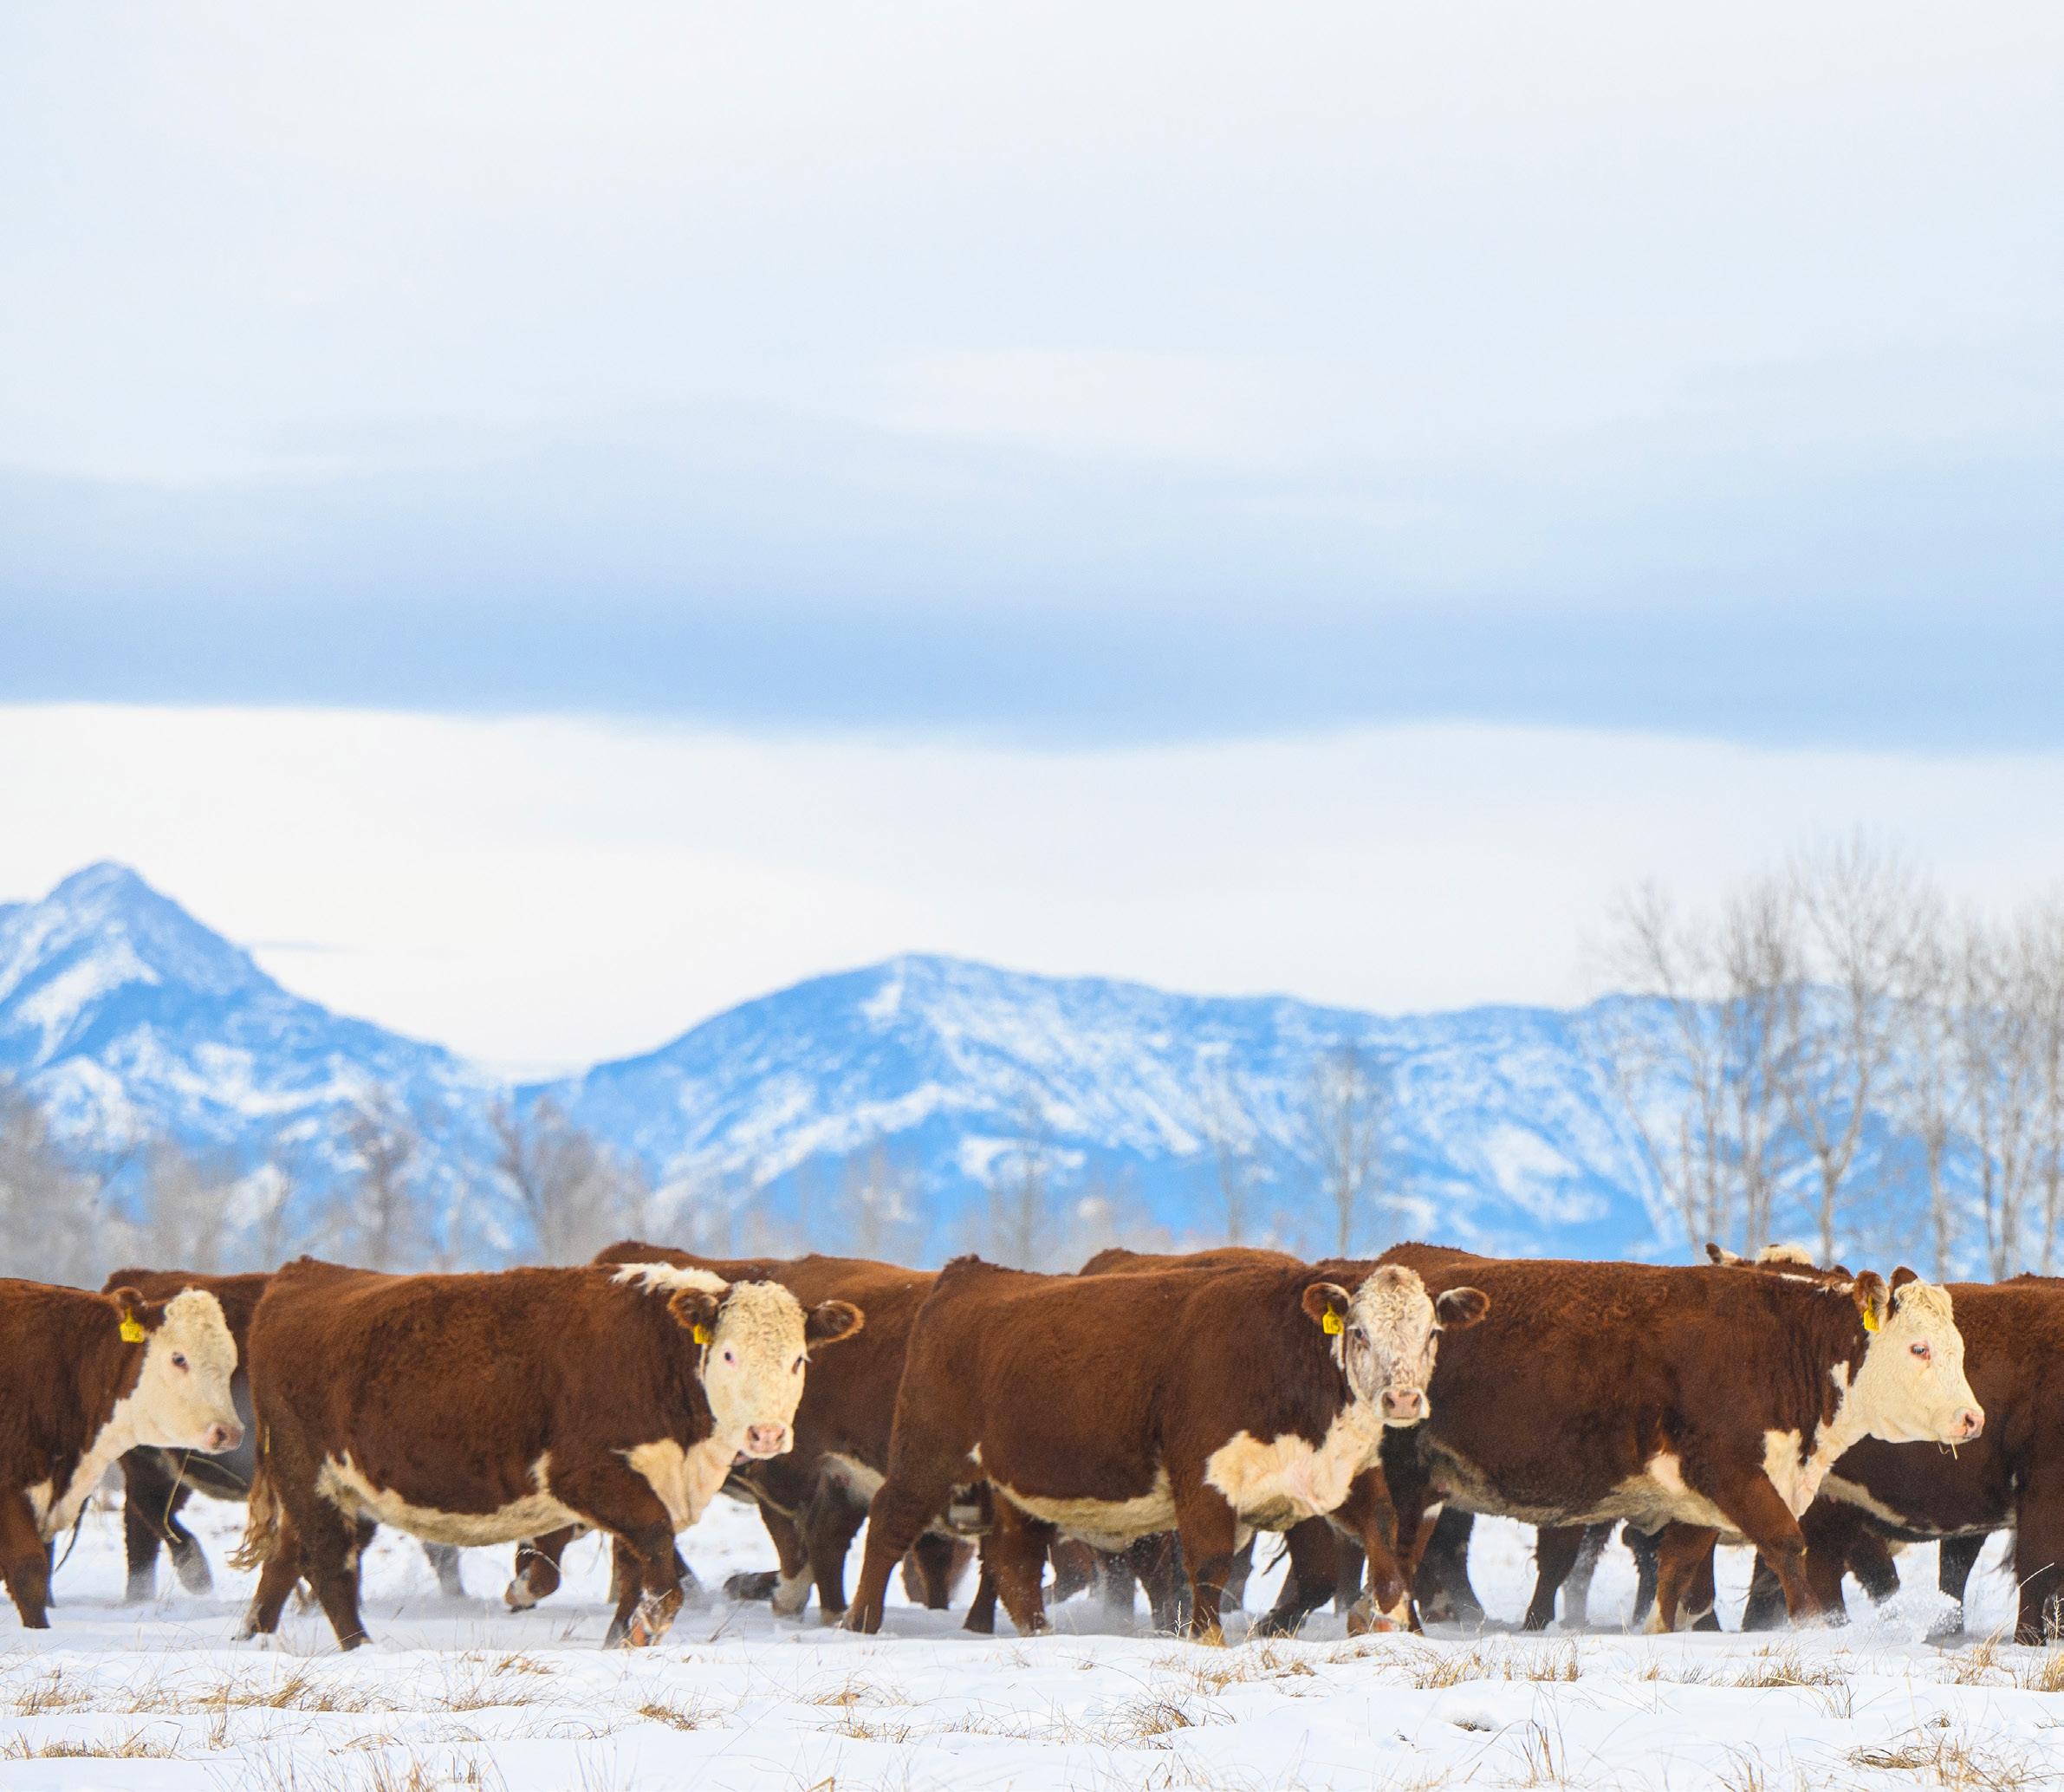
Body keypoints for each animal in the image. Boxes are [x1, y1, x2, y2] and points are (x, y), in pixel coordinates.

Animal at [233, 1256, 861, 1650]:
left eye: (799, 1359)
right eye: (728, 1354)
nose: (766, 1434)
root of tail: (305, 1272)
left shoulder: (649, 1481)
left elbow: (635, 1565)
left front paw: (622, 1635)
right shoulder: (588, 1475)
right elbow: (653, 1548)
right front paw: (647, 1623)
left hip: (341, 1486)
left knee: (290, 1557)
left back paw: (254, 1637)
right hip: (308, 1475)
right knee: (329, 1564)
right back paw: (361, 1649)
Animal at [842, 1251, 1487, 1643]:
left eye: (1432, 1332)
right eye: (1358, 1331)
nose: (1402, 1399)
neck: (1281, 1354)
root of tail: (972, 1273)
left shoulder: (1327, 1476)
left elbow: (1362, 1551)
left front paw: (1390, 1620)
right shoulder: (1203, 1478)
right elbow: (1210, 1562)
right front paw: (1208, 1637)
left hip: (1015, 1482)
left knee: (1012, 1556)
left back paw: (1038, 1632)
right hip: (927, 1455)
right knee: (889, 1526)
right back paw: (860, 1621)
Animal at [1377, 1243, 1981, 1631]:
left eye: (1959, 1347)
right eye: (1919, 1348)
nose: (1971, 1418)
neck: (1779, 1344)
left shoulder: (1703, 1499)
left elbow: (1678, 1573)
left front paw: (1662, 1630)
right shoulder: (1733, 1472)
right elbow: (1787, 1546)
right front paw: (1814, 1629)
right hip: (1403, 1474)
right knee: (1400, 1552)